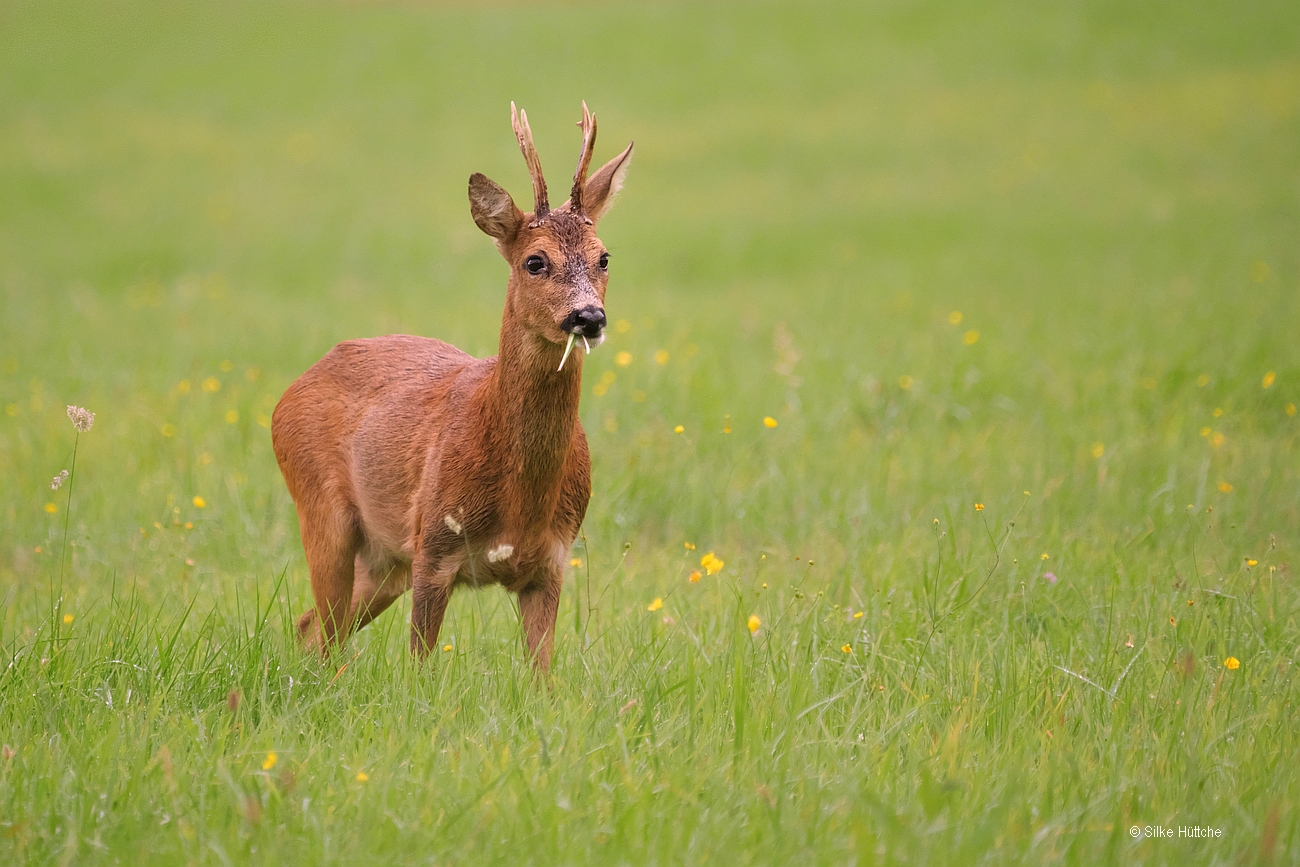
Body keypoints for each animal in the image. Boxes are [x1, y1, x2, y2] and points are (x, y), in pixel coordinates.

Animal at [275, 102, 634, 670]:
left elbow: (543, 675)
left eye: (604, 257)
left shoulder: (551, 563)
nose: (588, 317)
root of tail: (291, 389)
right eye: (535, 260)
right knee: (322, 628)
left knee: (313, 627)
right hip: (322, 506)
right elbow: (418, 668)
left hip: (386, 558)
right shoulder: (436, 549)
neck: (521, 496)